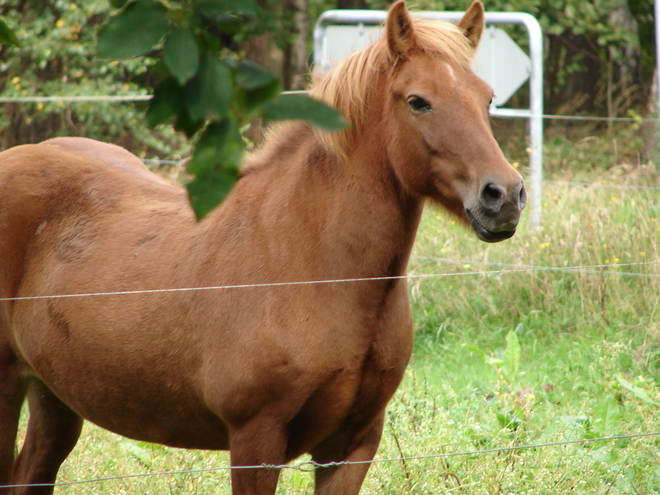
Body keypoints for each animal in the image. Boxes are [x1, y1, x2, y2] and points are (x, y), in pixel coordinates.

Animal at [0, 1, 524, 494]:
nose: (503, 196)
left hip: (54, 395)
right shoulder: (256, 439)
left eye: (488, 98)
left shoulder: (353, 444)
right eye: (418, 101)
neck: (312, 265)